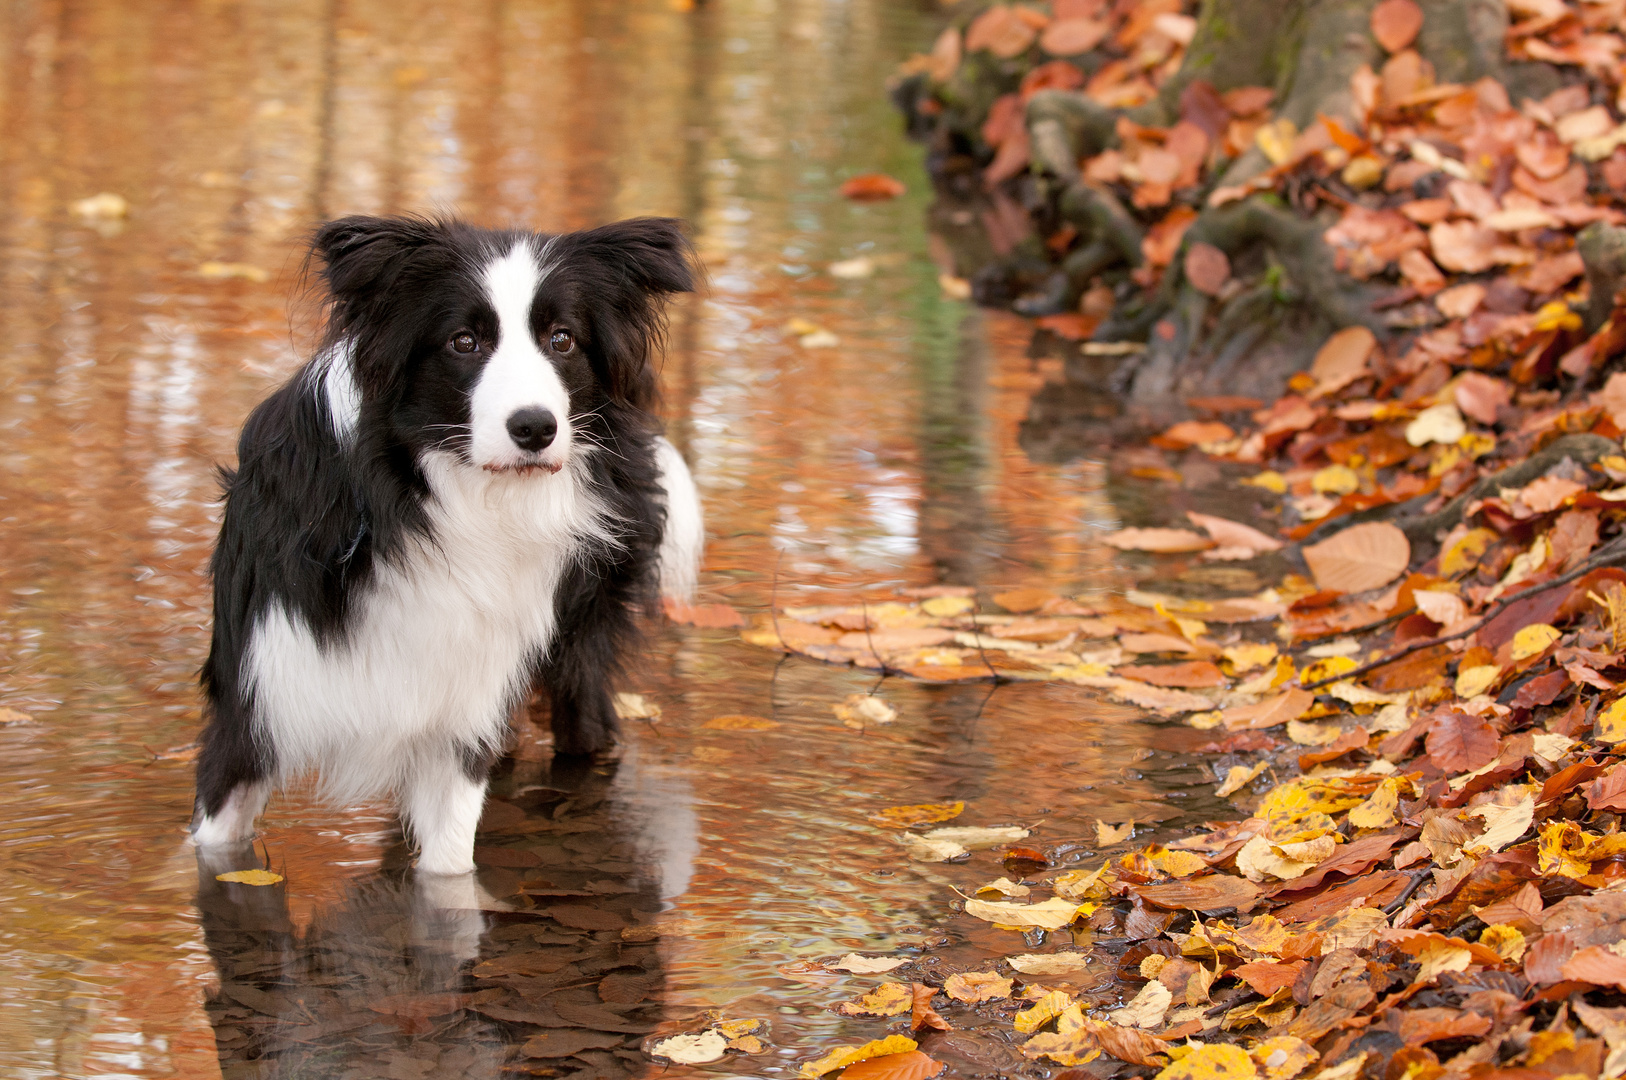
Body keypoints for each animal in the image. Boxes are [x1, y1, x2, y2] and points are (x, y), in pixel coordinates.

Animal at [188, 214, 699, 871]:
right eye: (463, 341)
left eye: (562, 339)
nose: (535, 428)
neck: (425, 505)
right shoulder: (259, 695)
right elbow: (219, 838)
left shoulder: (461, 711)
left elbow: (450, 864)